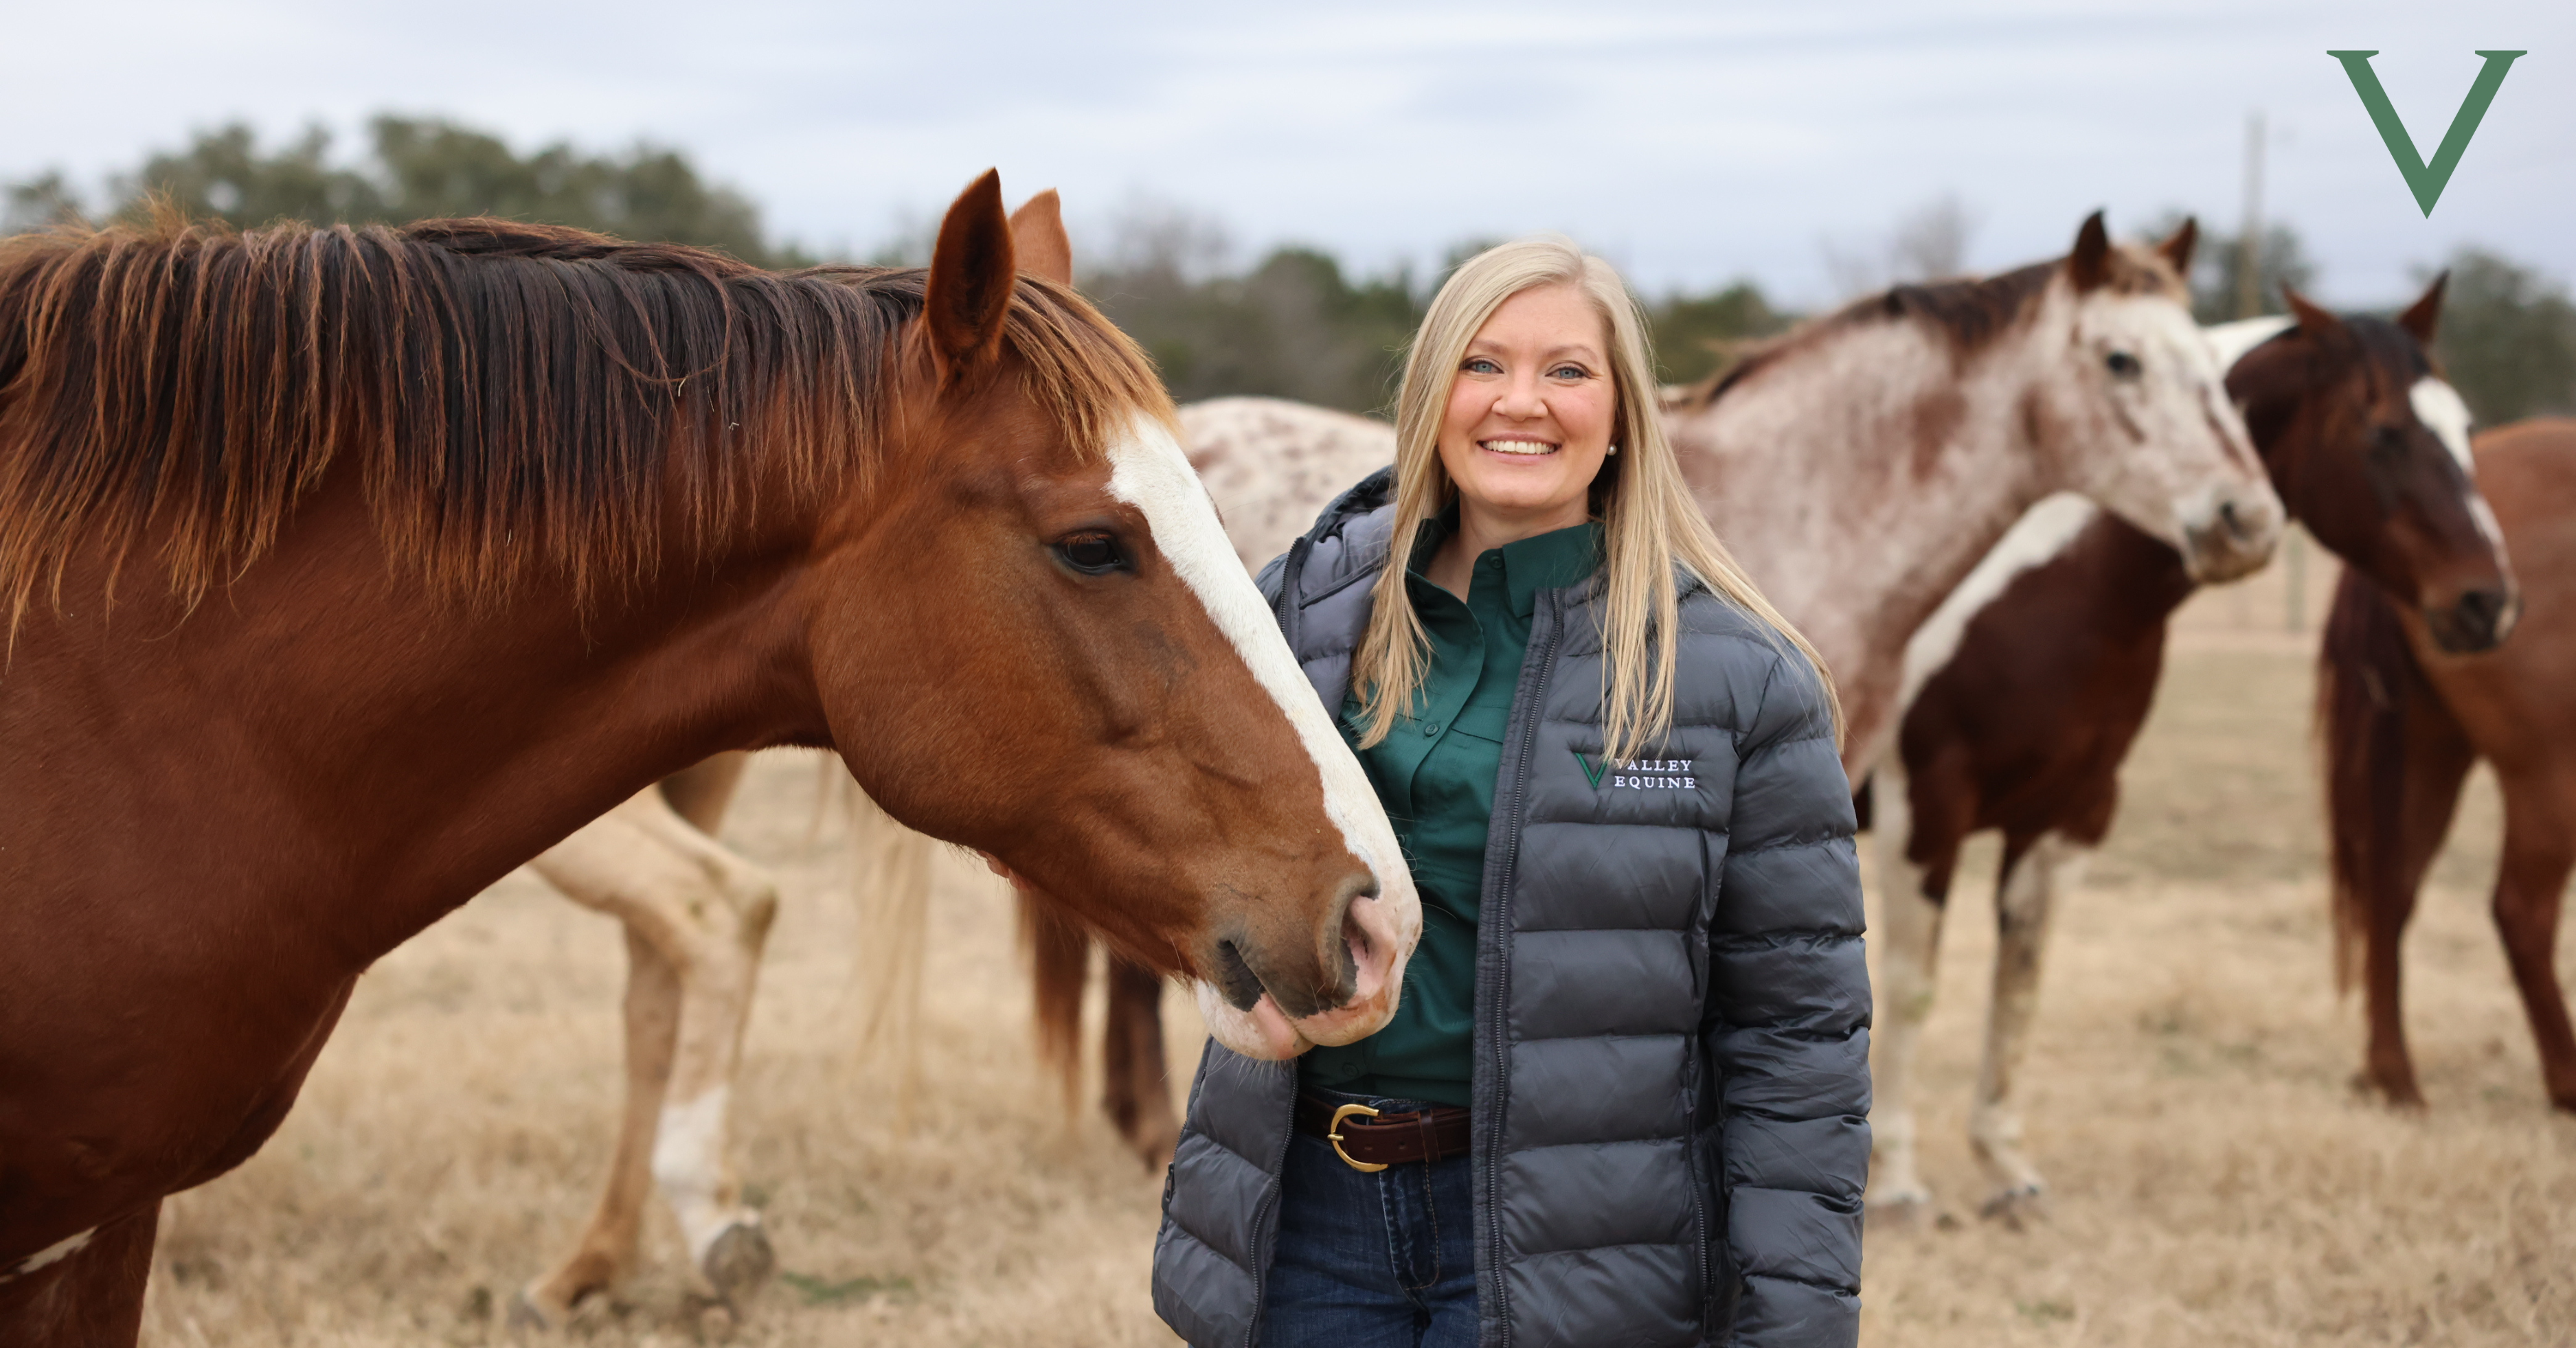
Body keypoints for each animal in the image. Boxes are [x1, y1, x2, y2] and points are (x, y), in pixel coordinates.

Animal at [1865, 279, 2524, 1226]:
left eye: (2466, 426)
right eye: (2382, 433)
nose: (2486, 603)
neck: (2035, 590)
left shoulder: (2069, 817)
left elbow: (2019, 984)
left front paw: (2005, 1168)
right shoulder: (1923, 810)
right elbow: (1911, 985)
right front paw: (1896, 1182)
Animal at [2318, 422, 2576, 1118]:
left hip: (2427, 751)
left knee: (2391, 891)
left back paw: (2393, 1075)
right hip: (2551, 779)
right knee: (2522, 913)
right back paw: (2567, 1082)